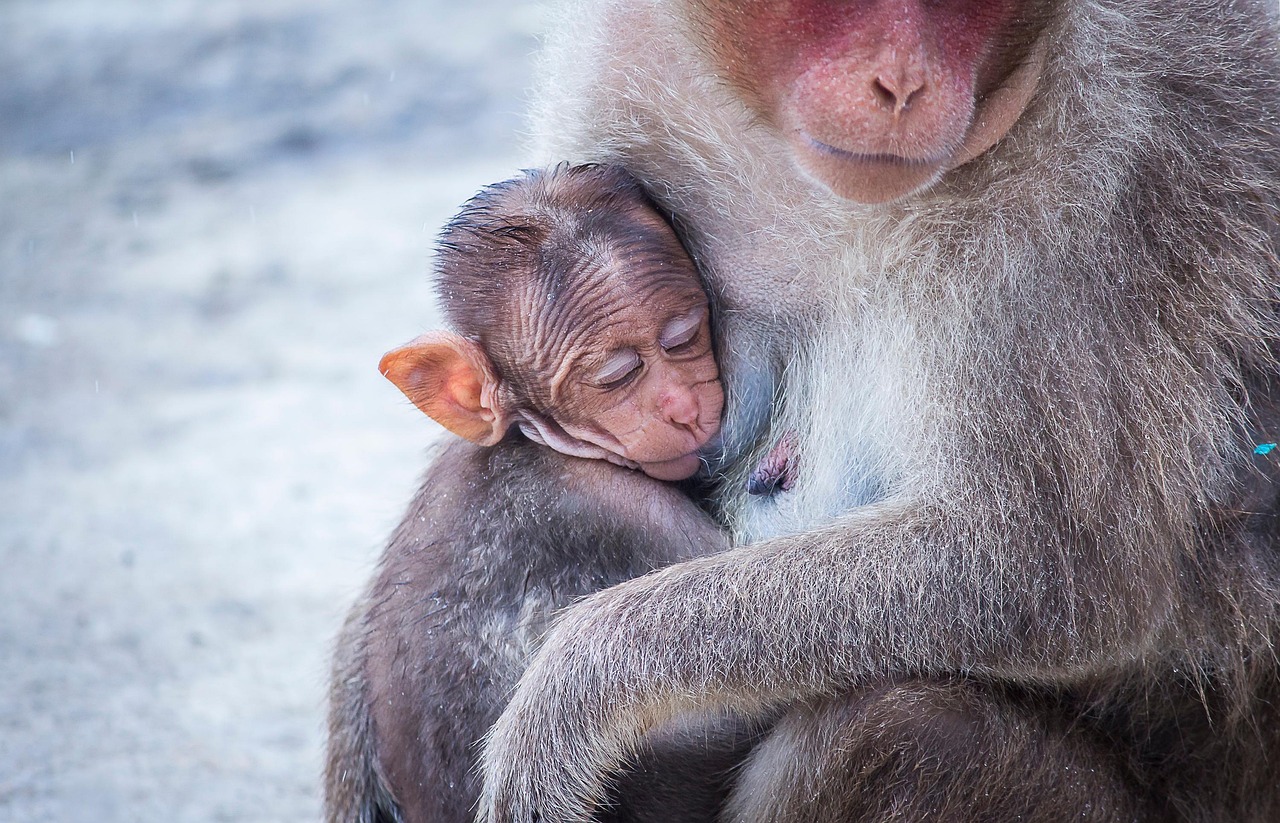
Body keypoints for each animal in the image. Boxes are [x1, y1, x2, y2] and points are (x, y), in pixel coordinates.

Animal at [478, 1, 1280, 823]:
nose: (902, 84)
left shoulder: (1101, 181)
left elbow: (1044, 571)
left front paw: (570, 694)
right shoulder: (624, 68)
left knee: (888, 731)